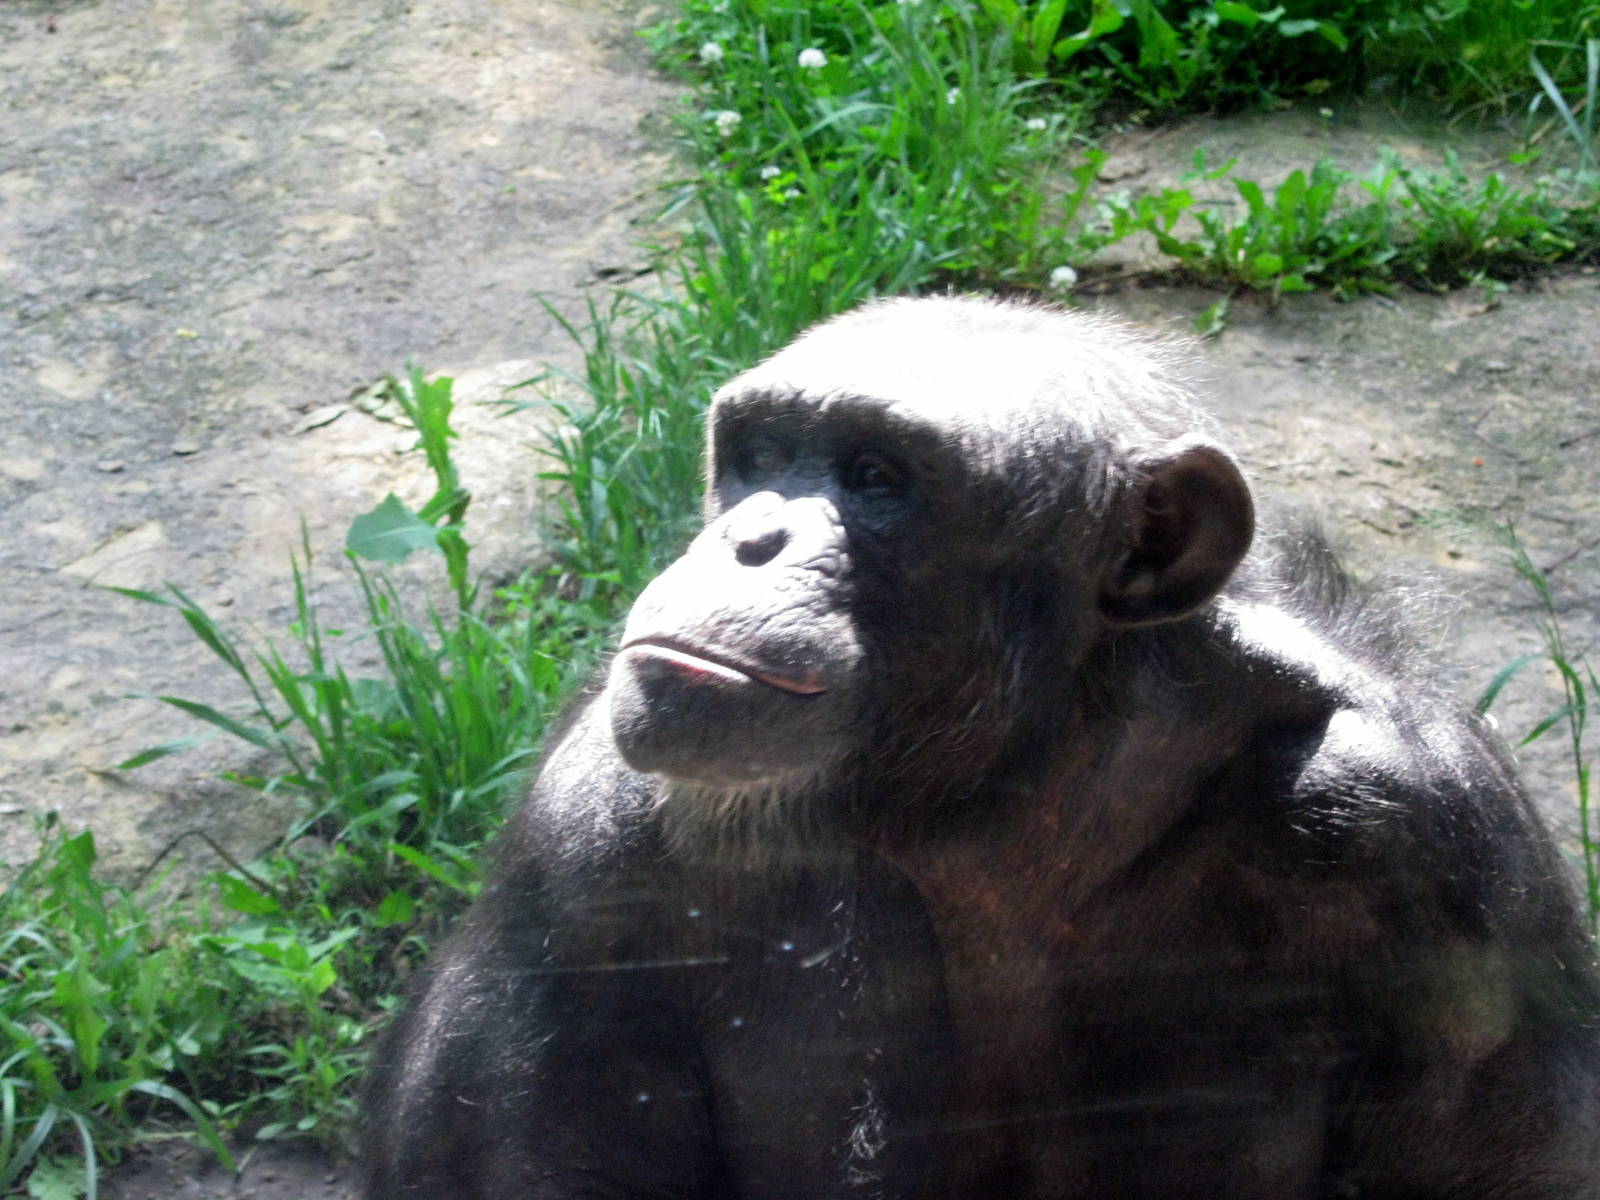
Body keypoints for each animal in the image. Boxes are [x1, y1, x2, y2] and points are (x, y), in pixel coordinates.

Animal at [359, 296, 1600, 1198]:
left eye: (876, 477)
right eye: (757, 457)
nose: (749, 538)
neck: (1012, 802)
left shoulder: (1440, 861)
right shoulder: (573, 865)